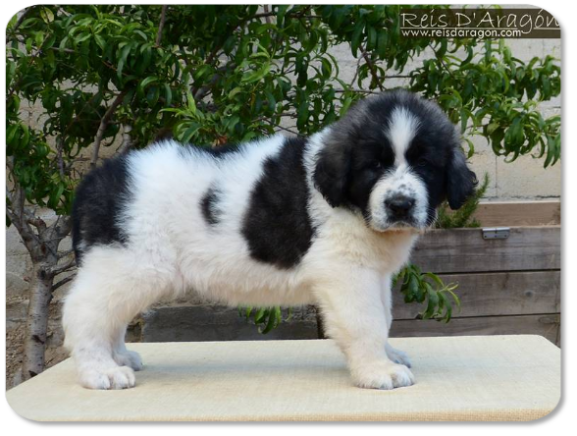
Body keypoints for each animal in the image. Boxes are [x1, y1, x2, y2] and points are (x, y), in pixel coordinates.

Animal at [63, 90, 476, 390]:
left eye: (424, 165)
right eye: (374, 166)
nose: (400, 204)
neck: (351, 204)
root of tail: (93, 181)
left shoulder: (374, 273)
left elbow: (384, 315)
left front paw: (387, 356)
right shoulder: (346, 272)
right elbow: (366, 320)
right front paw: (378, 371)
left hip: (122, 267)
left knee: (110, 314)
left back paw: (118, 357)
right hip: (130, 263)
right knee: (85, 311)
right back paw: (100, 371)